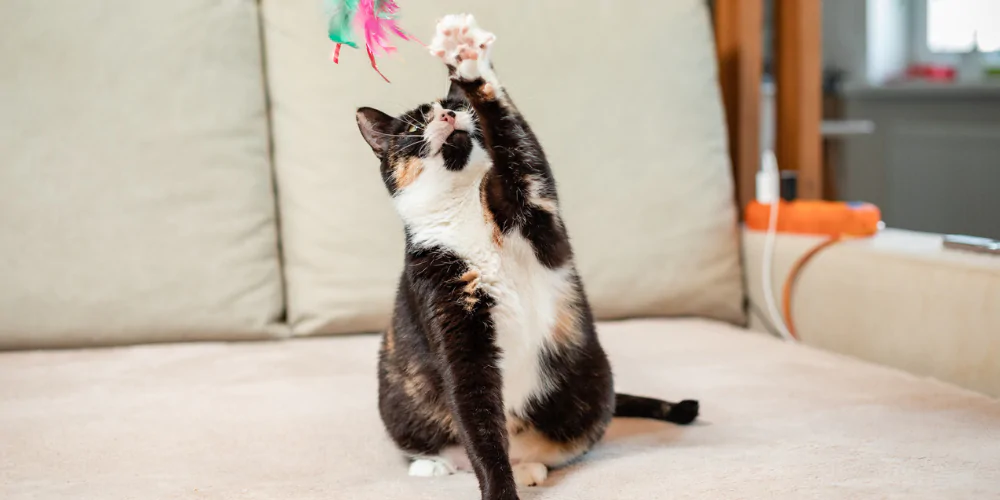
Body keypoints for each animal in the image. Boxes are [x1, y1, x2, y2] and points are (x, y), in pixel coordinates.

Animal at [356, 13, 700, 500]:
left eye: (455, 107)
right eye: (410, 128)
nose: (449, 114)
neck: (466, 212)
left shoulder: (535, 206)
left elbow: (519, 141)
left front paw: (469, 61)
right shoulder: (448, 317)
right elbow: (477, 420)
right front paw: (498, 489)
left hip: (593, 387)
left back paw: (530, 468)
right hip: (399, 397)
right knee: (446, 445)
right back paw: (432, 465)